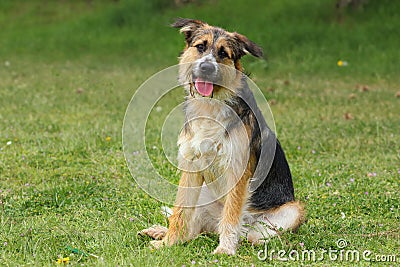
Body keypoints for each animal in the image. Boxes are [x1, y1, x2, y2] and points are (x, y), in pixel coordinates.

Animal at [139, 17, 304, 256]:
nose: (206, 67)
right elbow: (180, 212)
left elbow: (231, 215)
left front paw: (225, 250)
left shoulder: (238, 170)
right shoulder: (191, 166)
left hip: (290, 212)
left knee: (248, 234)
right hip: (203, 194)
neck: (210, 104)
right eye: (201, 47)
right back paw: (160, 232)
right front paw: (168, 242)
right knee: (195, 228)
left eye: (223, 53)